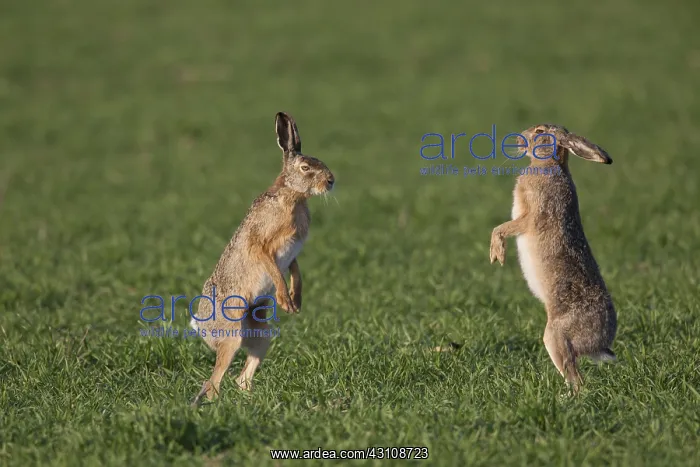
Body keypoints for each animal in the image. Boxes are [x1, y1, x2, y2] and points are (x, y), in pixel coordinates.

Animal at [190, 111, 335, 405]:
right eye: (305, 167)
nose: (331, 181)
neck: (292, 195)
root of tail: (200, 327)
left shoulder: (292, 253)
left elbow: (295, 271)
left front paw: (295, 301)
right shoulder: (260, 244)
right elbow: (273, 267)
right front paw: (284, 300)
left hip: (261, 335)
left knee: (241, 377)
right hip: (232, 336)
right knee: (214, 381)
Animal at [489, 124, 616, 394]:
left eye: (539, 131)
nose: (519, 139)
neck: (549, 164)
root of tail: (601, 342)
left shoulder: (531, 215)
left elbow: (503, 228)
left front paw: (497, 253)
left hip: (555, 337)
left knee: (576, 379)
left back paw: (565, 398)